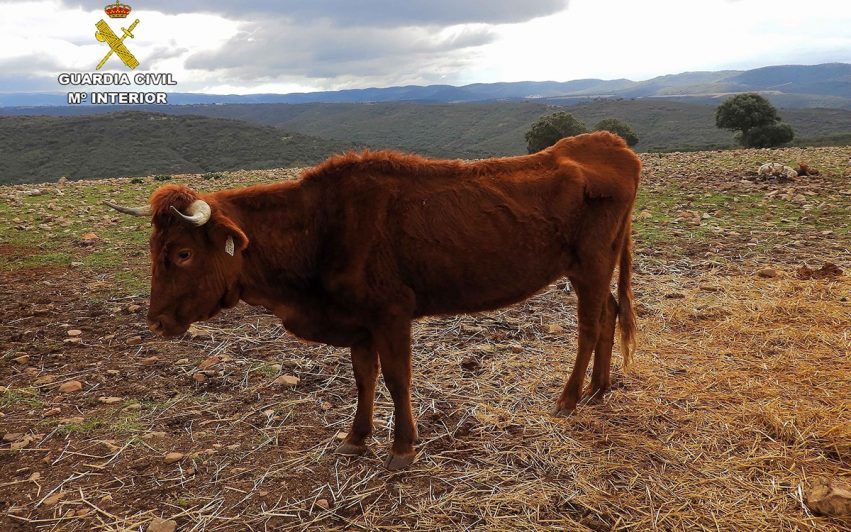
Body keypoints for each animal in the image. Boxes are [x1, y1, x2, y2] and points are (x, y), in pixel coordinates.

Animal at [105, 131, 641, 470]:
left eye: (183, 252)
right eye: (153, 249)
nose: (156, 322)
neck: (319, 229)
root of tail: (609, 143)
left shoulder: (392, 314)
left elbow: (396, 379)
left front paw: (402, 447)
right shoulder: (357, 322)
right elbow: (363, 379)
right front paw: (355, 438)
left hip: (590, 265)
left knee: (590, 324)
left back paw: (569, 398)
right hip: (598, 265)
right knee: (611, 312)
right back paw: (600, 388)